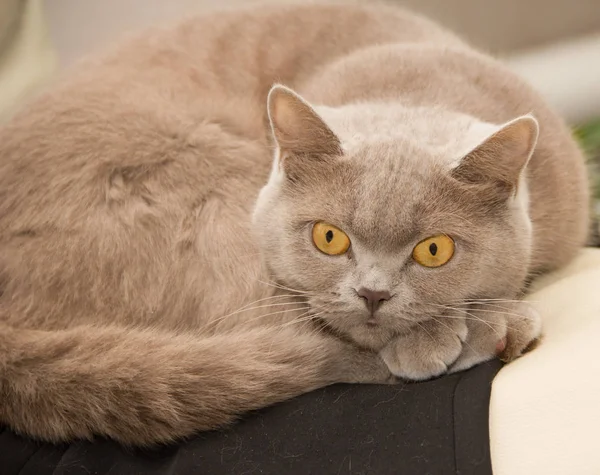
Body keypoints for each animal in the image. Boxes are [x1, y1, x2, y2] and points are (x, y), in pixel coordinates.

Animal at [0, 1, 592, 446]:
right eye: (329, 238)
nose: (372, 294)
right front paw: (449, 335)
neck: (419, 89)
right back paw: (495, 329)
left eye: (434, 251)